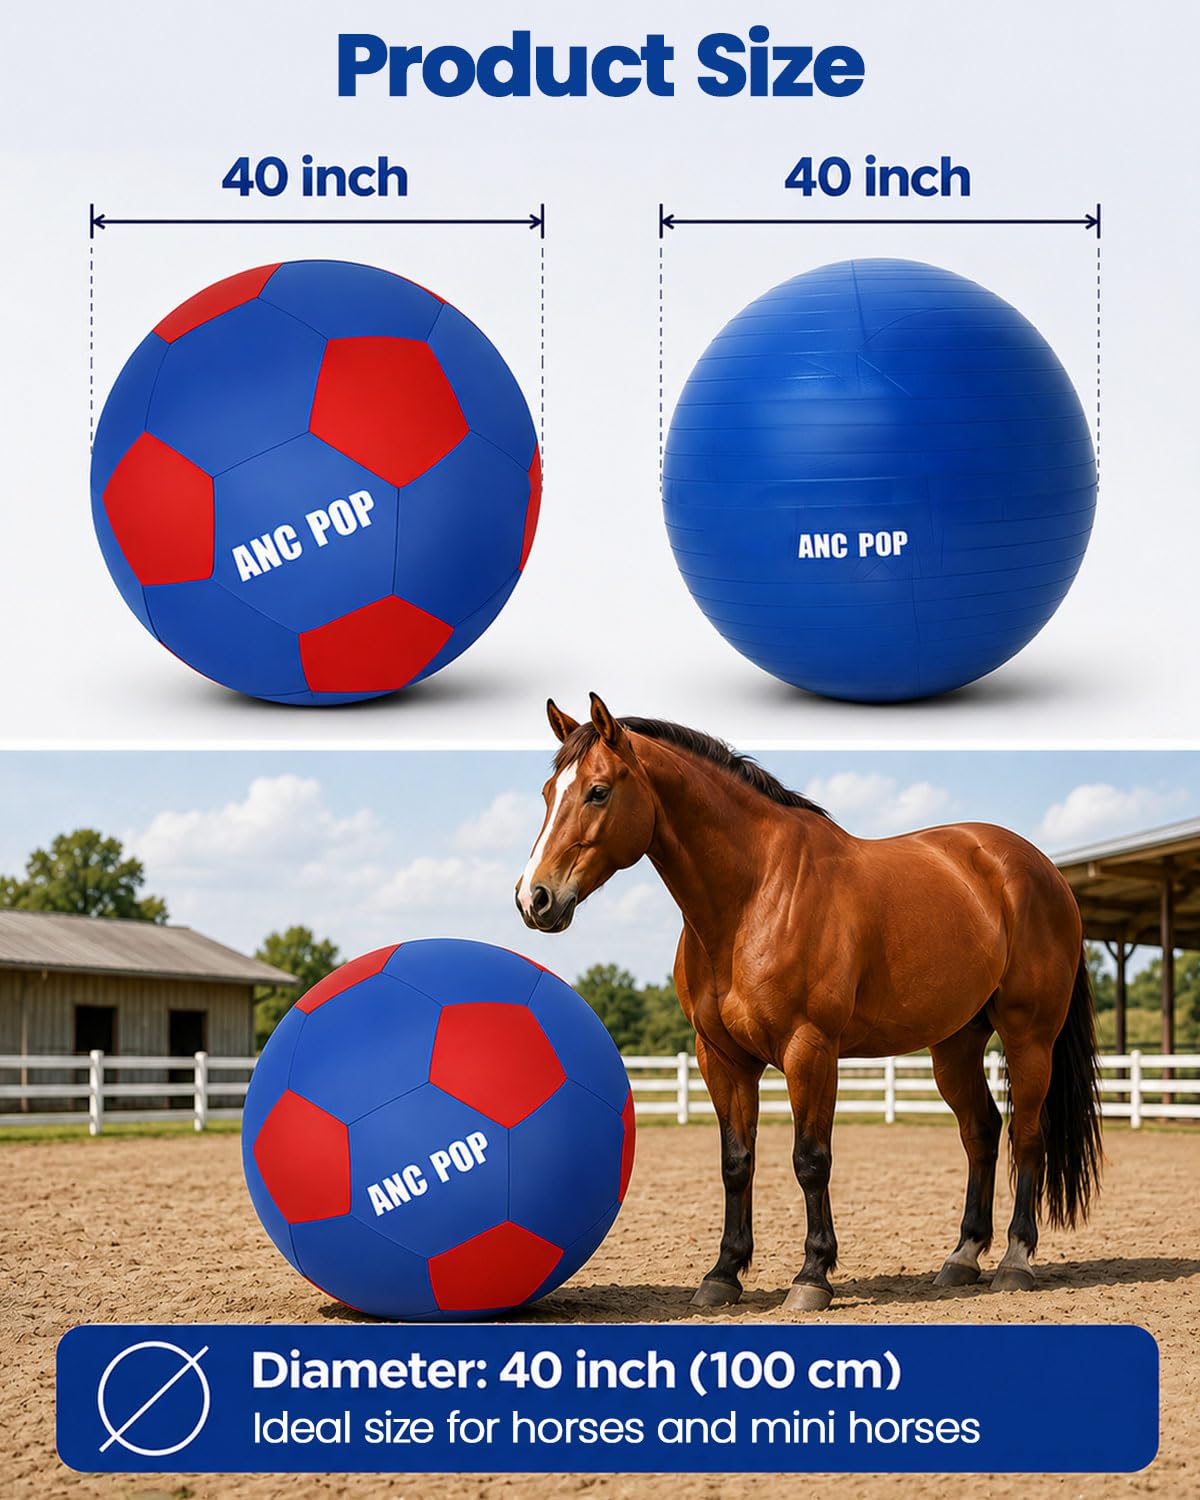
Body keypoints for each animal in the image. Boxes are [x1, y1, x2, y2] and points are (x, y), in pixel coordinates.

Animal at [515, 694, 1102, 1311]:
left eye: (598, 791)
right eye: (549, 793)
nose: (534, 898)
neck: (754, 896)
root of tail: (1040, 869)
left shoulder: (810, 1050)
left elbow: (810, 1160)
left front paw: (812, 1276)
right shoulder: (721, 1058)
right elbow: (736, 1163)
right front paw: (723, 1273)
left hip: (1028, 1037)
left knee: (1026, 1135)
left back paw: (1016, 1260)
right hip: (955, 1044)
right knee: (982, 1132)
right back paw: (962, 1258)